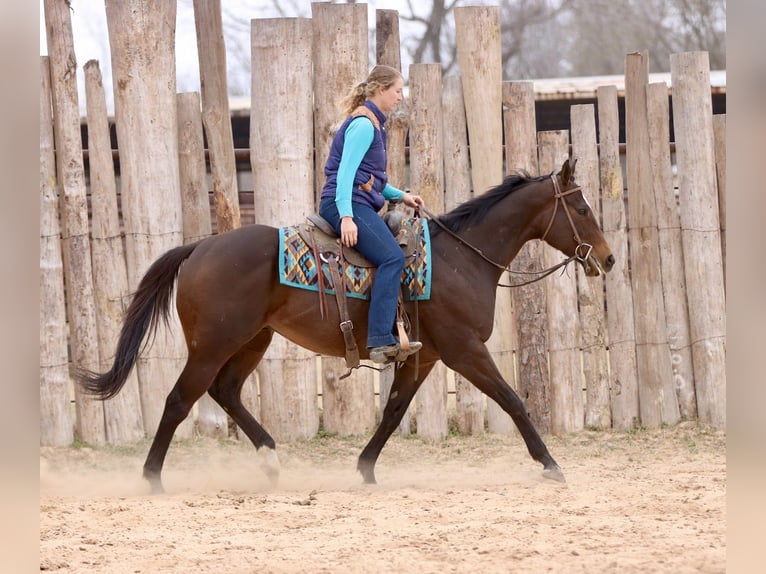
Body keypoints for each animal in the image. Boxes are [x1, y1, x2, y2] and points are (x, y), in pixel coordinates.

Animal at [79, 158, 614, 494]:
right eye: (581, 207)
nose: (608, 259)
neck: (460, 260)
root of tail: (198, 248)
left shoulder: (423, 356)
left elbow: (394, 411)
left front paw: (365, 468)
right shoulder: (465, 351)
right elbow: (513, 400)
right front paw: (550, 464)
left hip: (252, 340)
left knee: (225, 392)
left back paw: (270, 458)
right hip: (212, 344)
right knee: (179, 400)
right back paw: (152, 478)